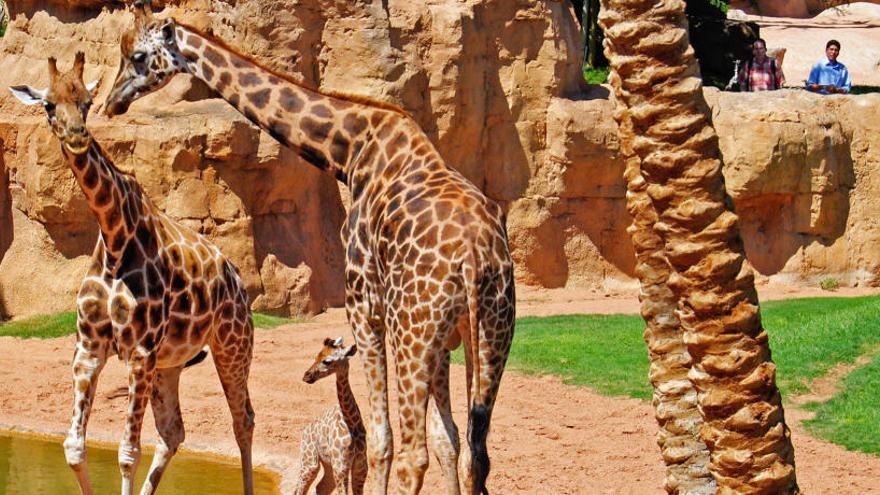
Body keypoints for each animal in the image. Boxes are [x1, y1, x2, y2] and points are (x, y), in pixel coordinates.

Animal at [9, 52, 256, 495]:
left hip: (232, 344)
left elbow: (127, 453)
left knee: (242, 419)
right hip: (170, 364)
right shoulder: (89, 349)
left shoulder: (138, 351)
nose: (77, 135)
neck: (114, 237)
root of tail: (236, 278)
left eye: (86, 102)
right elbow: (74, 447)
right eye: (49, 104)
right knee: (174, 432)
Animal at [295, 336, 367, 495]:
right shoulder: (341, 467)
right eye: (316, 356)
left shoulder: (360, 468)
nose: (306, 376)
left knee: (320, 487)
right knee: (299, 489)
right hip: (310, 462)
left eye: (327, 361)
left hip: (327, 465)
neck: (352, 422)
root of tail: (304, 432)